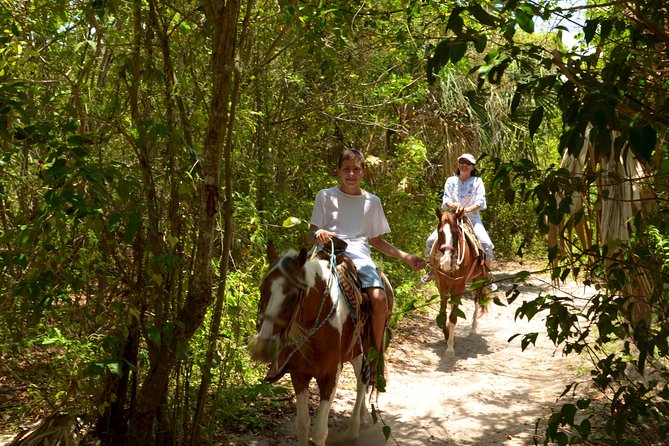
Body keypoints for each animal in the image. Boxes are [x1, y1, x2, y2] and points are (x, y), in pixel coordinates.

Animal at [248, 244, 388, 446]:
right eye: (262, 288)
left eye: (293, 296)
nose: (263, 346)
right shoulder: (299, 375)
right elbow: (302, 424)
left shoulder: (330, 377)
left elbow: (320, 431)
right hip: (354, 352)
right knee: (360, 376)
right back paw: (361, 416)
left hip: (369, 349)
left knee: (363, 381)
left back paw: (353, 429)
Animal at [430, 207, 488, 358]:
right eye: (440, 232)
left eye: (456, 233)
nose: (445, 262)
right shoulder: (442, 284)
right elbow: (443, 315)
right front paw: (448, 338)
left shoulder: (460, 285)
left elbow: (453, 317)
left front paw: (450, 349)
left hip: (479, 280)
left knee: (477, 301)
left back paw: (473, 330)